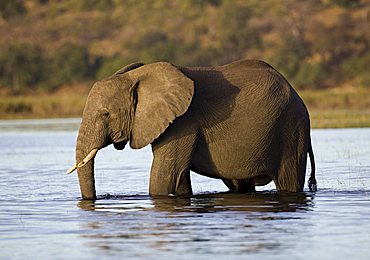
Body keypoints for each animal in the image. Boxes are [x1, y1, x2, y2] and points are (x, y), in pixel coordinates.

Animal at [66, 60, 316, 200]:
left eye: (105, 114)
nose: (94, 200)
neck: (136, 77)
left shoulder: (183, 122)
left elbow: (165, 177)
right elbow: (179, 179)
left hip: (292, 130)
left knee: (288, 180)